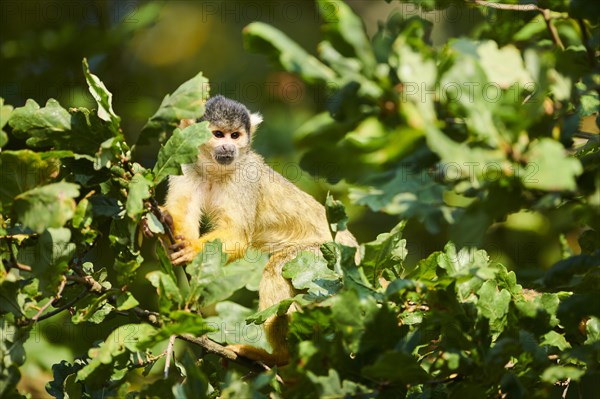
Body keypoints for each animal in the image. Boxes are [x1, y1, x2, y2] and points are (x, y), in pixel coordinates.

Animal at [162, 95, 358, 368]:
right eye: (218, 134)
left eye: (235, 135)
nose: (228, 148)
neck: (214, 168)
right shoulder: (186, 164)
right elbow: (183, 220)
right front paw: (163, 225)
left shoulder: (246, 178)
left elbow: (238, 236)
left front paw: (191, 249)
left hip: (326, 257)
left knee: (277, 269)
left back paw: (278, 355)